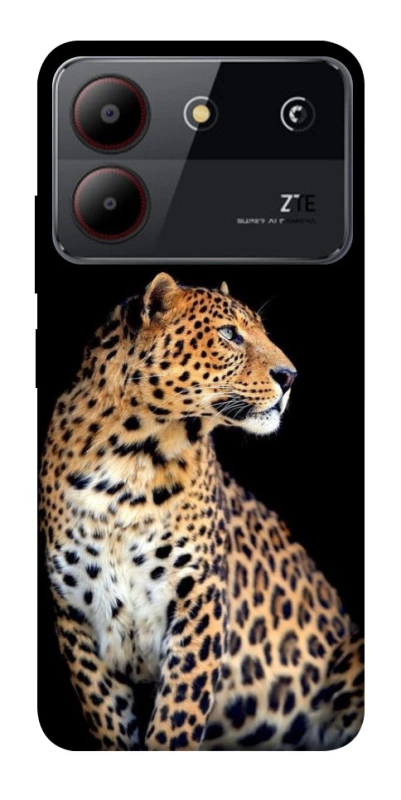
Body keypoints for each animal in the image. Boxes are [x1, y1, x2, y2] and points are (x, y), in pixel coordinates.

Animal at [39, 272, 364, 751]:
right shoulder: (76, 616)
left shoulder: (199, 599)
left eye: (262, 331)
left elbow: (176, 718)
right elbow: (111, 722)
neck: (129, 461)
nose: (290, 376)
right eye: (229, 334)